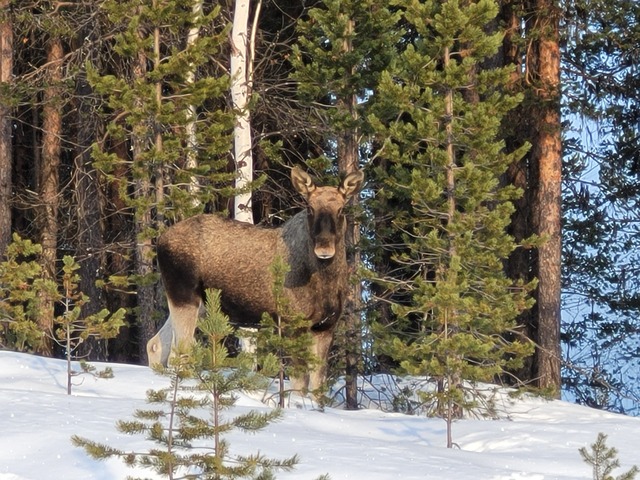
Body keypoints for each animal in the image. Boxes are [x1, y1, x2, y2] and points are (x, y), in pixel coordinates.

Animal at [146, 167, 364, 392]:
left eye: (341, 209)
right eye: (310, 208)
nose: (324, 248)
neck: (326, 281)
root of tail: (160, 240)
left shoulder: (325, 327)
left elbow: (318, 388)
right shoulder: (292, 324)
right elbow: (299, 384)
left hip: (200, 305)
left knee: (156, 345)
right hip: (184, 295)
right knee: (180, 352)